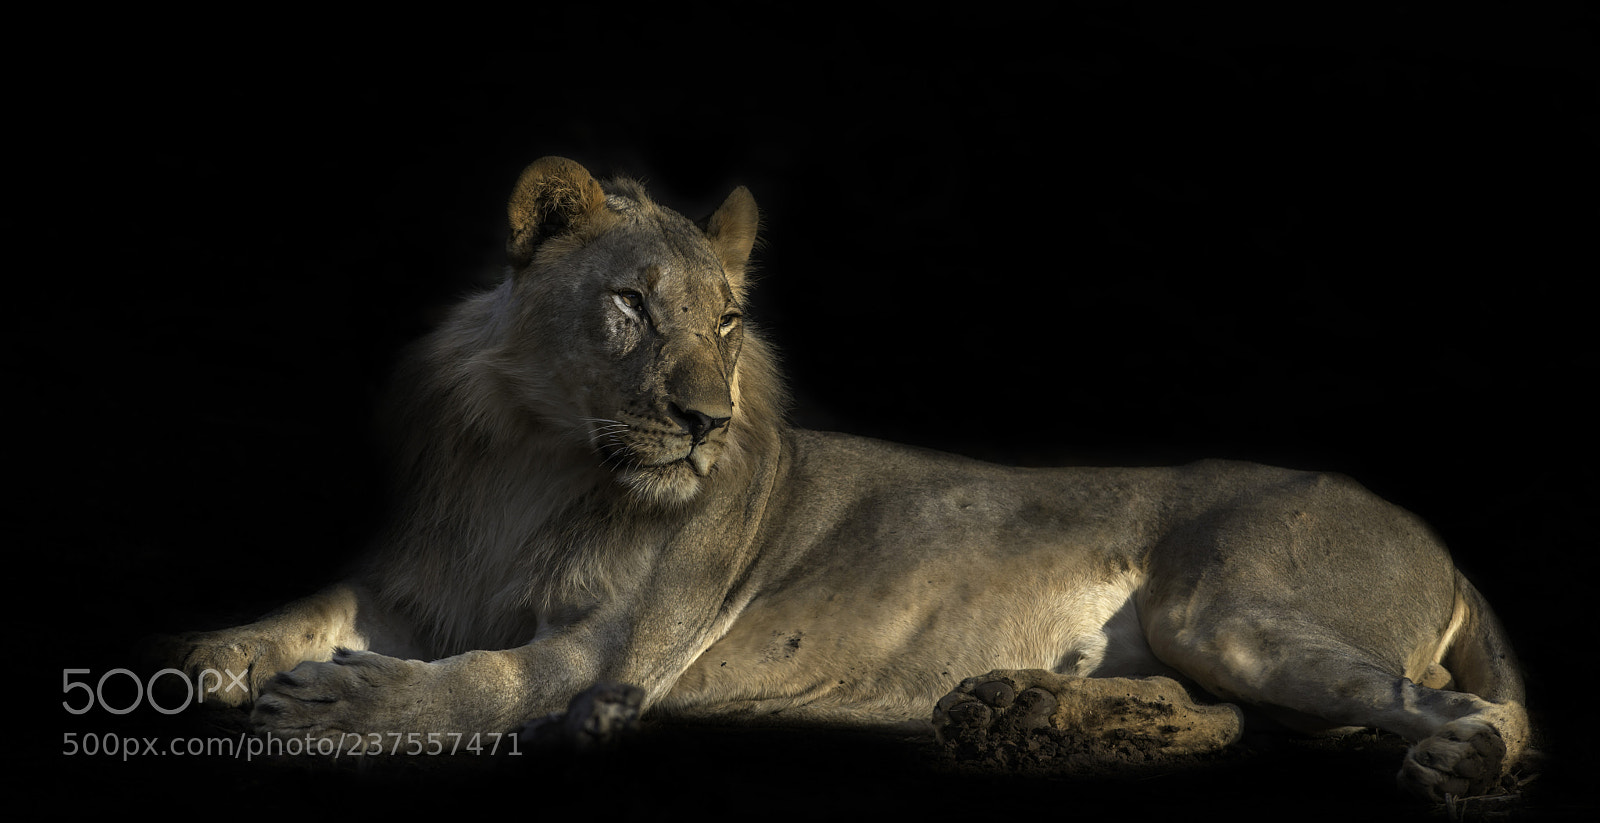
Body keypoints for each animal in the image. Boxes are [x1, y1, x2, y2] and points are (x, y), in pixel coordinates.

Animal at [173, 156, 1530, 802]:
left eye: (725, 319)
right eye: (630, 305)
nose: (705, 422)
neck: (538, 459)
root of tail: (1446, 545)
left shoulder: (615, 638)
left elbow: (489, 682)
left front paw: (347, 710)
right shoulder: (419, 581)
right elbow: (316, 604)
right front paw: (210, 657)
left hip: (1225, 605)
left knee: (1461, 711)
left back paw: (1456, 767)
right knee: (1229, 718)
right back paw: (1018, 713)